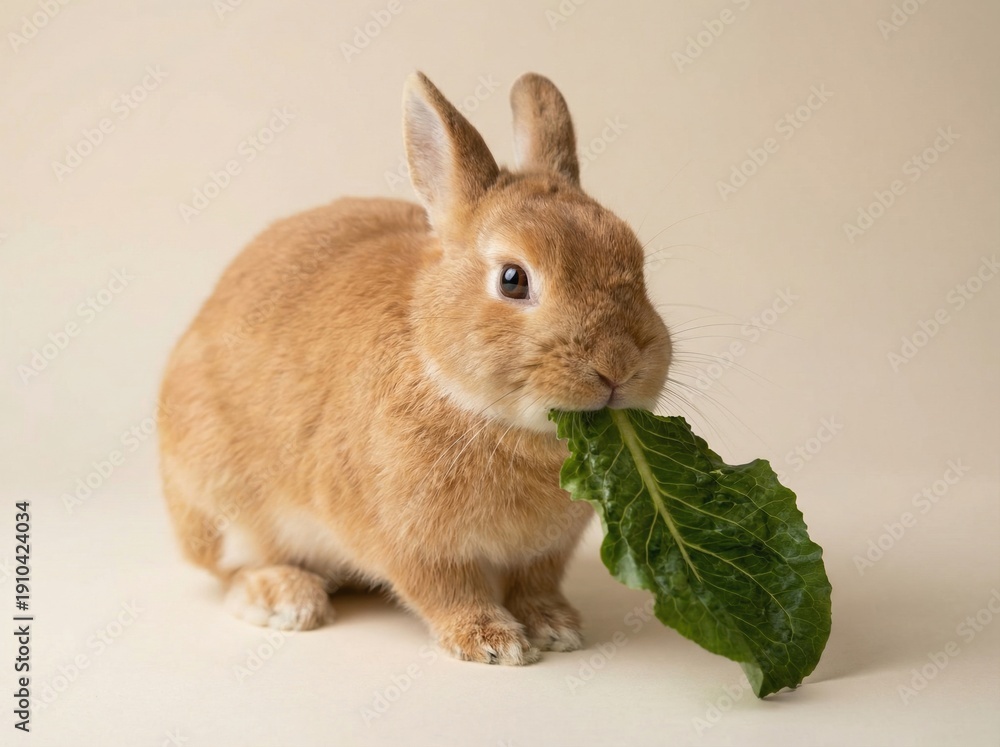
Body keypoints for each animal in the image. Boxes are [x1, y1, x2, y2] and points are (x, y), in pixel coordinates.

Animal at [157, 71, 672, 665]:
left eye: (637, 263)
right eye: (513, 279)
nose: (619, 366)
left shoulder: (544, 552)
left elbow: (536, 584)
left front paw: (555, 628)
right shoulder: (410, 542)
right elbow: (443, 590)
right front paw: (491, 643)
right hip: (223, 506)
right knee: (234, 570)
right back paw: (286, 598)